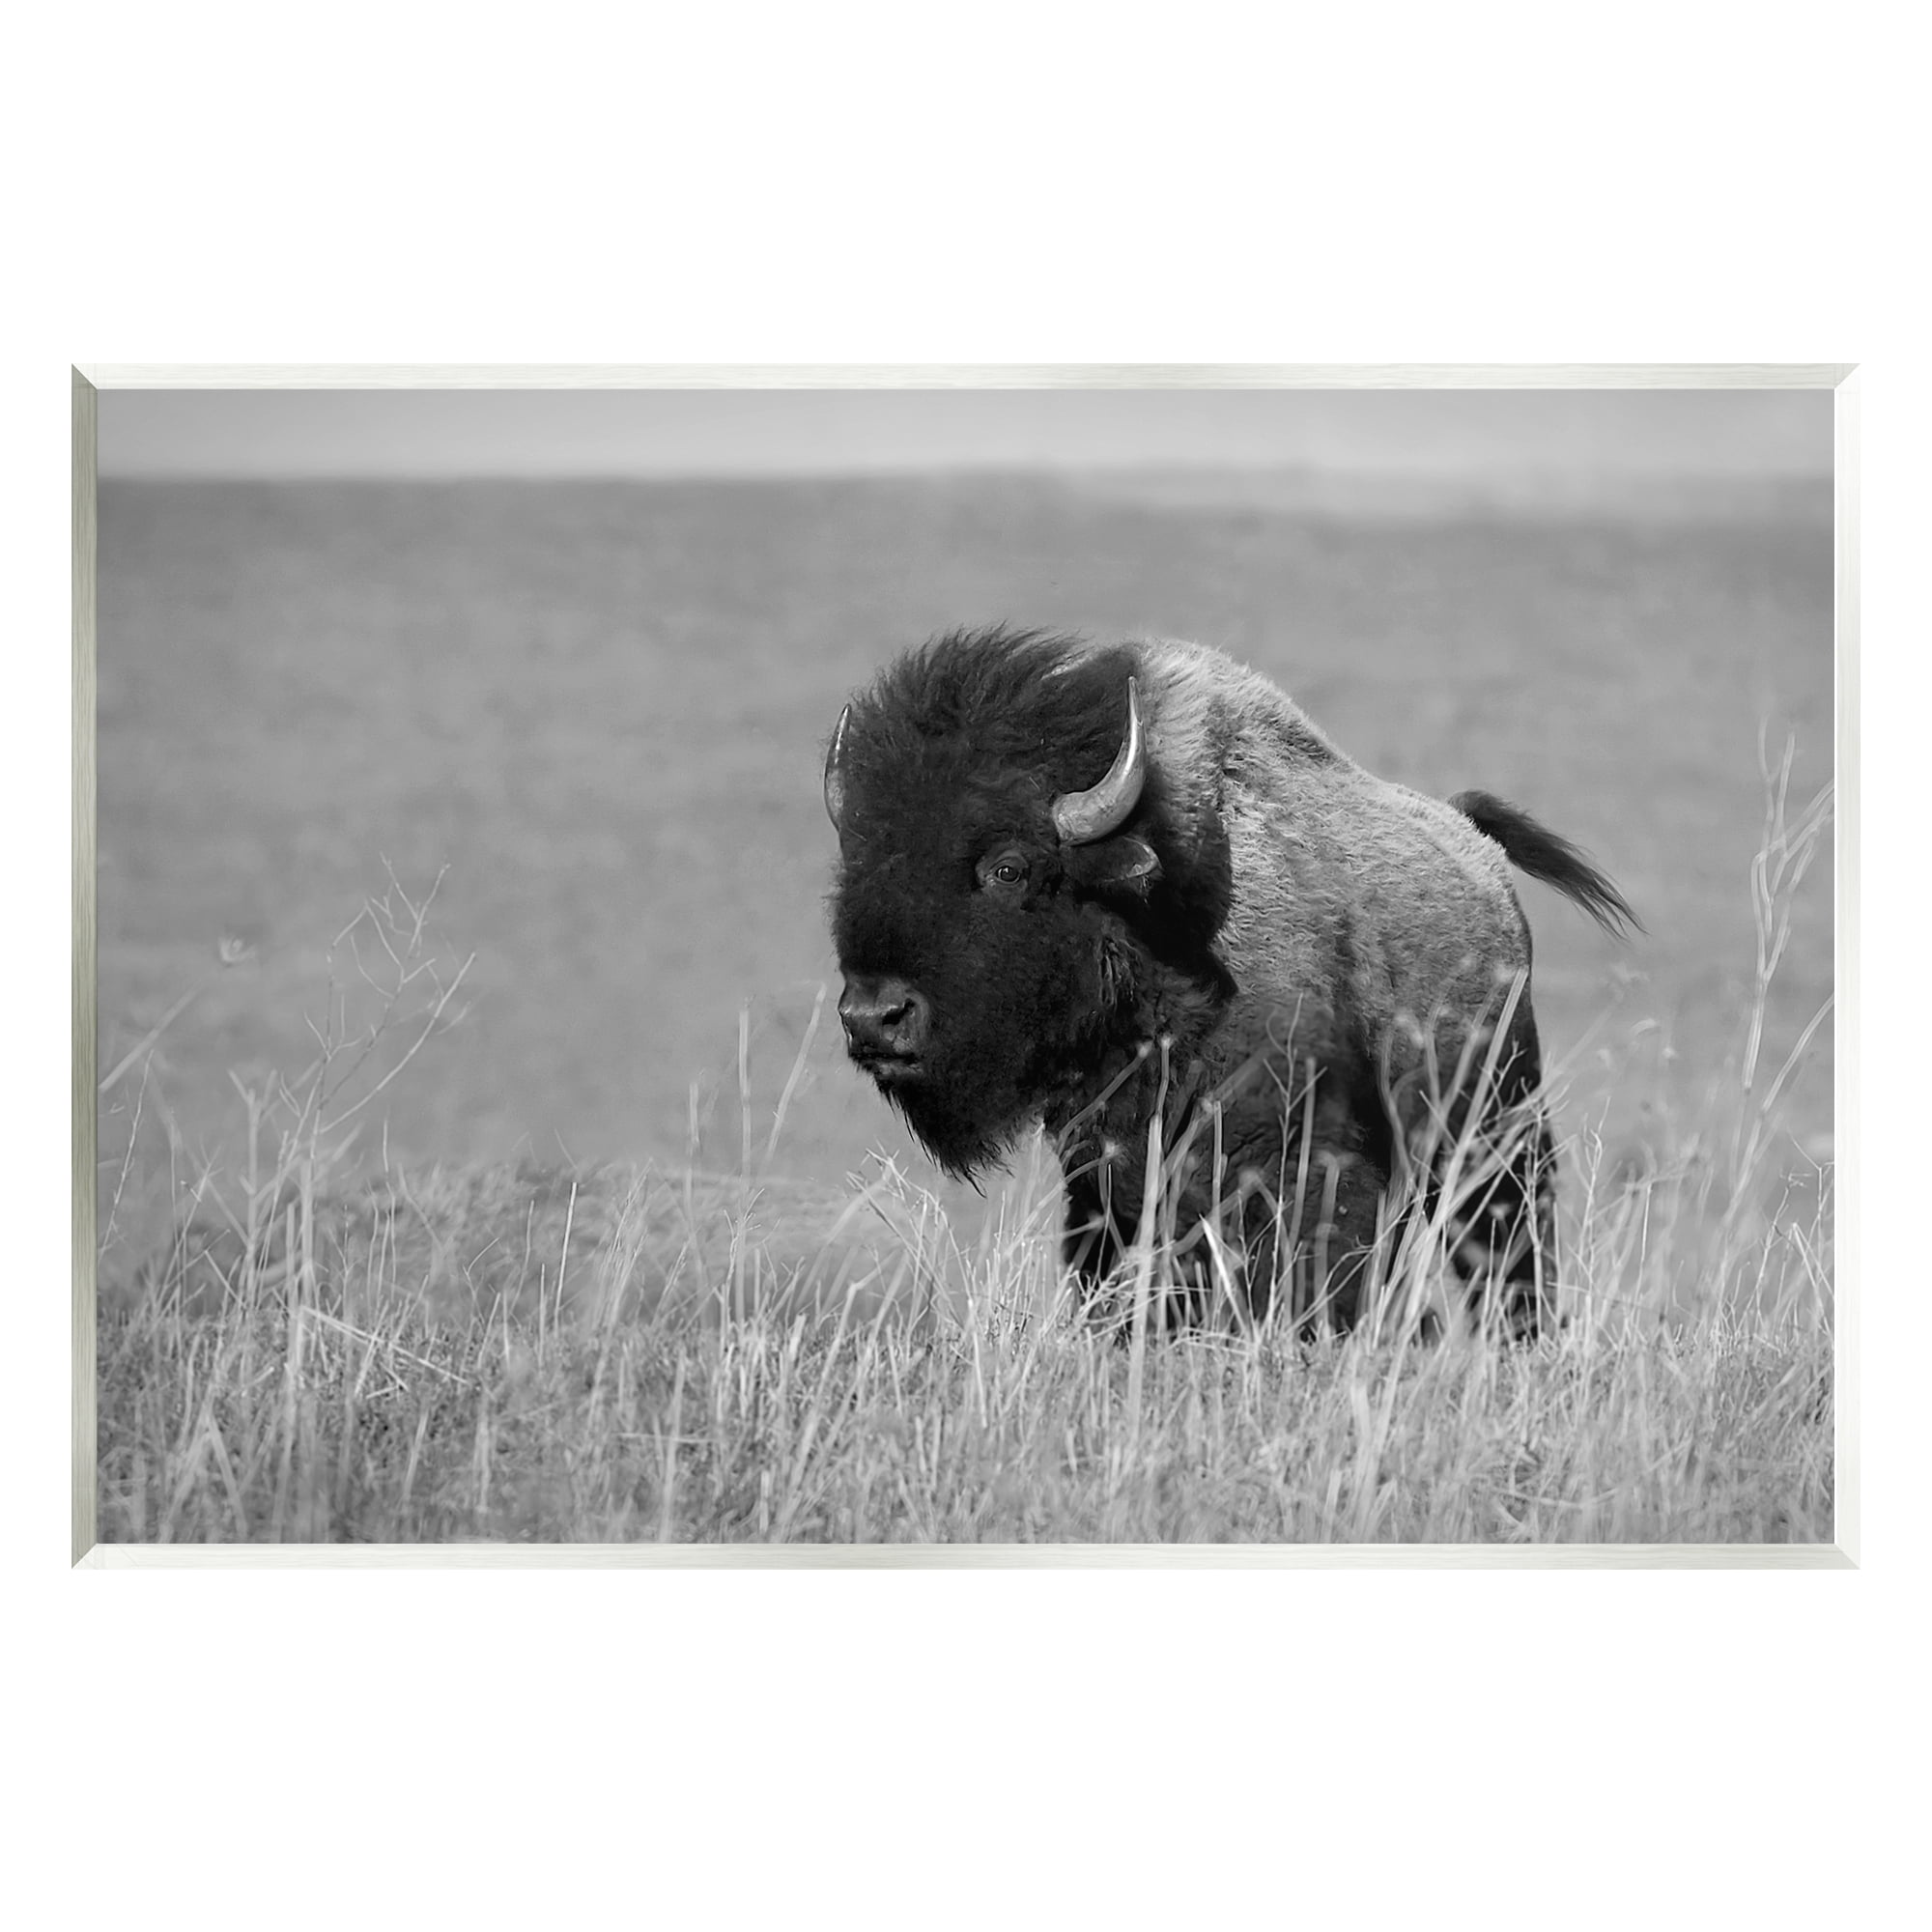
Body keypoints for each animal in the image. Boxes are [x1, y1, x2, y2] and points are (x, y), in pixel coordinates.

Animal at [823, 625, 1636, 1335]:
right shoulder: (1108, 1182)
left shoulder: (1303, 1166)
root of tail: (1484, 862)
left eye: (1009, 867)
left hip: (1498, 1137)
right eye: (857, 862)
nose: (874, 1015)